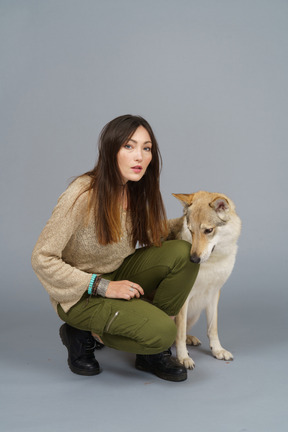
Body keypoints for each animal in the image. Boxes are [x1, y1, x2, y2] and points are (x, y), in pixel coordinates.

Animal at [166, 192, 241, 368]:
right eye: (191, 230)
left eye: (208, 230)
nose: (193, 259)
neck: (211, 263)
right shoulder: (183, 298)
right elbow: (179, 333)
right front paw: (183, 358)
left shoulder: (214, 294)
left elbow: (212, 328)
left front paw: (217, 350)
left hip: (195, 313)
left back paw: (190, 339)